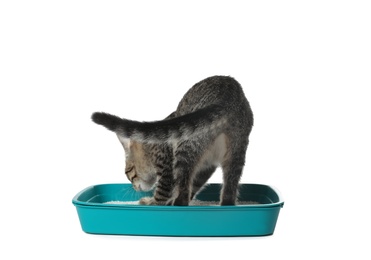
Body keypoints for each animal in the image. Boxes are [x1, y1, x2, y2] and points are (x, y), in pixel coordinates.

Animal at [92, 75, 254, 205]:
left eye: (128, 172)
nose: (134, 188)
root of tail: (228, 95)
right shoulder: (207, 166)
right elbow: (194, 184)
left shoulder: (166, 165)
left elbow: (162, 194)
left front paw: (151, 203)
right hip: (236, 153)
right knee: (229, 192)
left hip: (184, 149)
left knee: (182, 196)